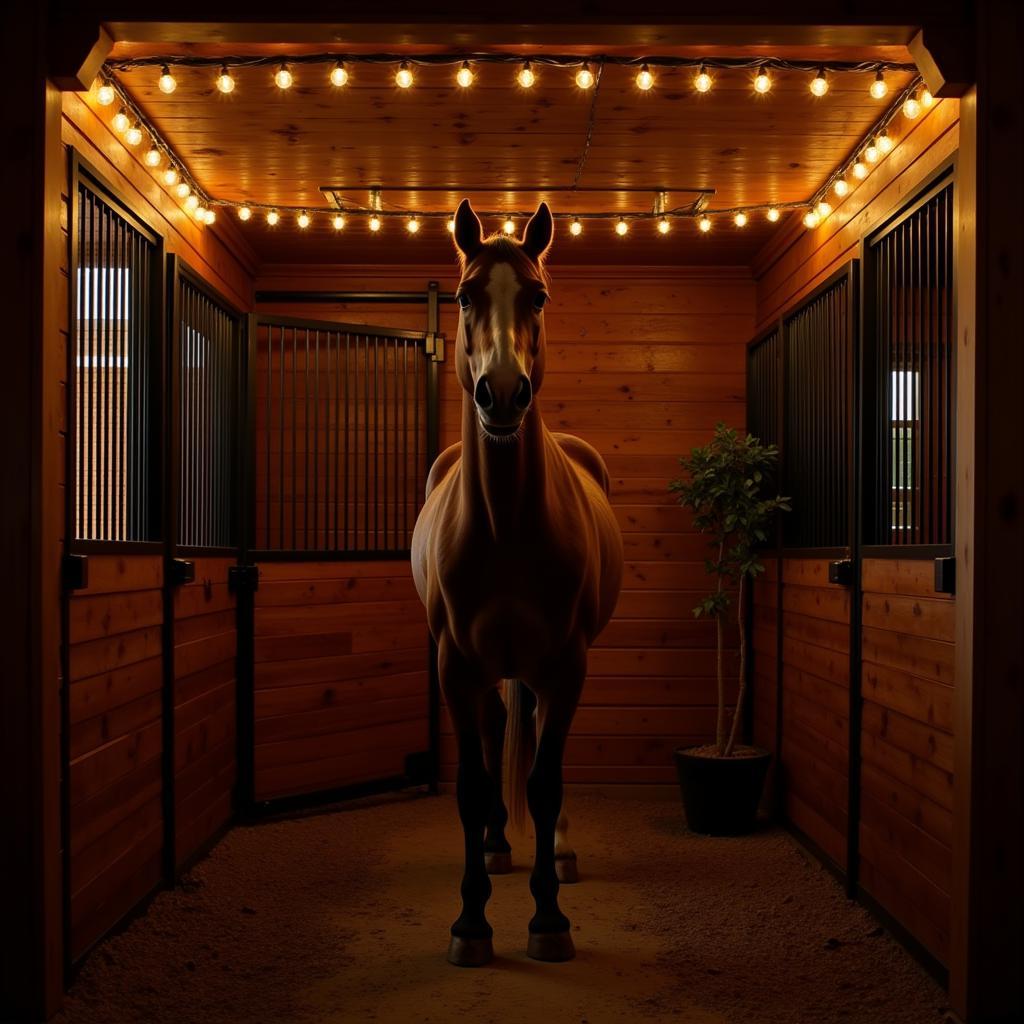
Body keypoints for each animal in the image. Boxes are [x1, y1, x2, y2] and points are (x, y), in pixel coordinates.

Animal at [409, 199, 618, 966]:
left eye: (539, 296)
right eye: (467, 295)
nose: (502, 393)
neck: (503, 526)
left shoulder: (566, 662)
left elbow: (547, 781)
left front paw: (548, 918)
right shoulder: (455, 665)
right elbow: (473, 784)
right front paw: (472, 920)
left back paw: (556, 852)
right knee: (505, 726)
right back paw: (500, 845)